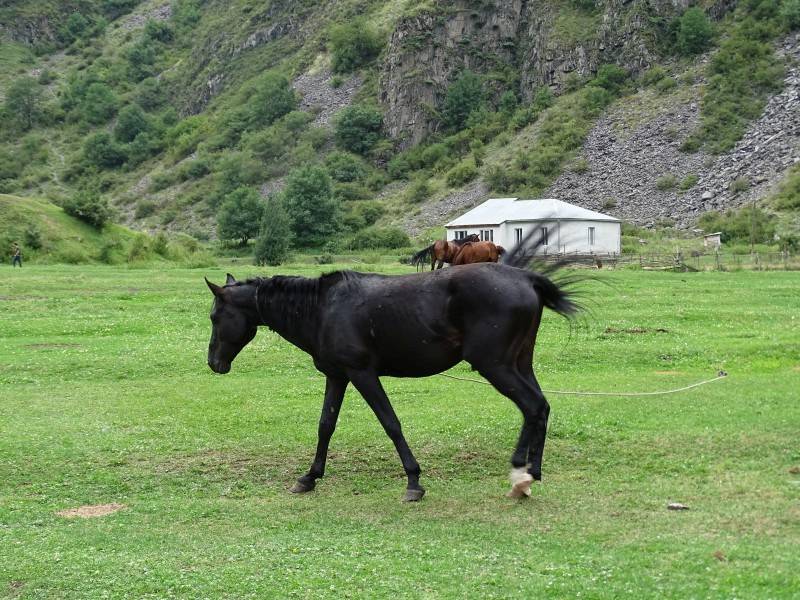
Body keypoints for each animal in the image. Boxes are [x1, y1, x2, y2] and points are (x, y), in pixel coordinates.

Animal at [205, 239, 576, 502]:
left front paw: (414, 481)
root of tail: (526, 277)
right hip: (519, 364)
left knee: (532, 407)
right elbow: (326, 425)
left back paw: (520, 477)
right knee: (540, 408)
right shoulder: (338, 376)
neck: (323, 309)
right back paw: (532, 473)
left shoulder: (363, 375)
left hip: (495, 366)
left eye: (214, 316)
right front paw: (309, 477)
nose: (213, 362)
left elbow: (391, 424)